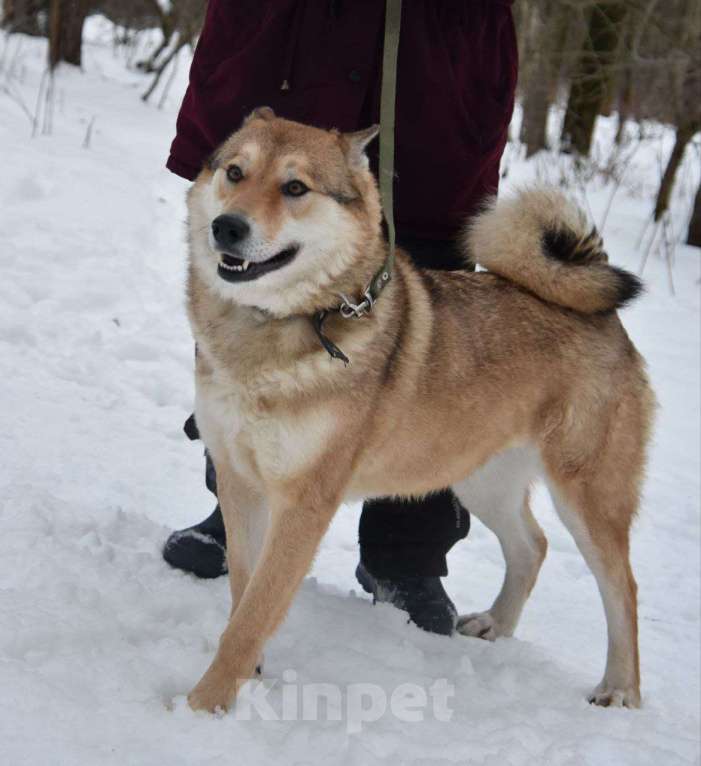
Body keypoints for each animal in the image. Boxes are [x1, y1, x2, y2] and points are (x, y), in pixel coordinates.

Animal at [183, 108, 652, 712]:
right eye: (236, 172)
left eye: (295, 188)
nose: (228, 227)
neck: (268, 331)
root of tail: (603, 316)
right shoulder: (239, 481)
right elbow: (242, 595)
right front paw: (249, 676)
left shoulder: (304, 503)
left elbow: (253, 614)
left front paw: (205, 705)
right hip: (479, 478)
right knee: (533, 546)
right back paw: (495, 625)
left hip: (587, 497)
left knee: (624, 589)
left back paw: (620, 689)